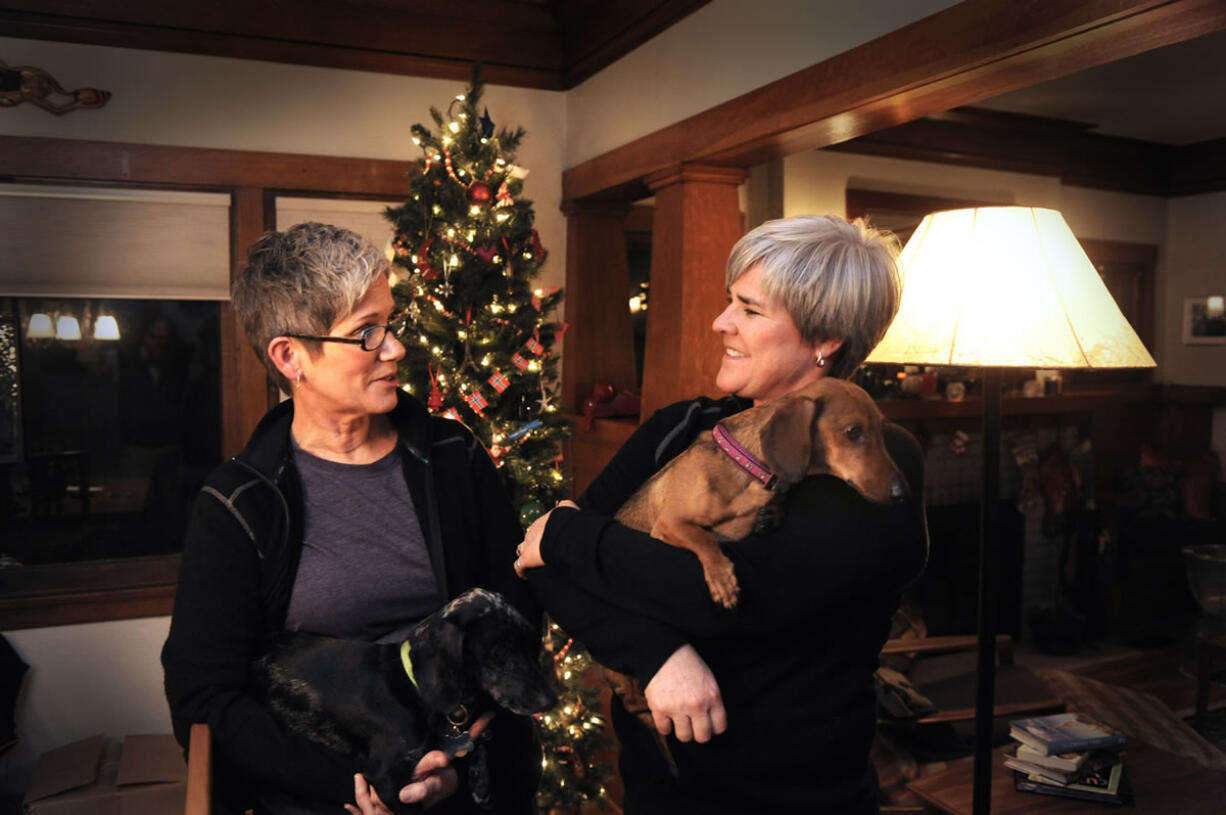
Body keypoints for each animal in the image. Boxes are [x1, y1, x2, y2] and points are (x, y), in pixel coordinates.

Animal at [252, 588, 556, 808]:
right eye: (499, 651)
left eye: (532, 642)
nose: (550, 701)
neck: (413, 688)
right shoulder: (388, 781)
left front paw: (480, 778)